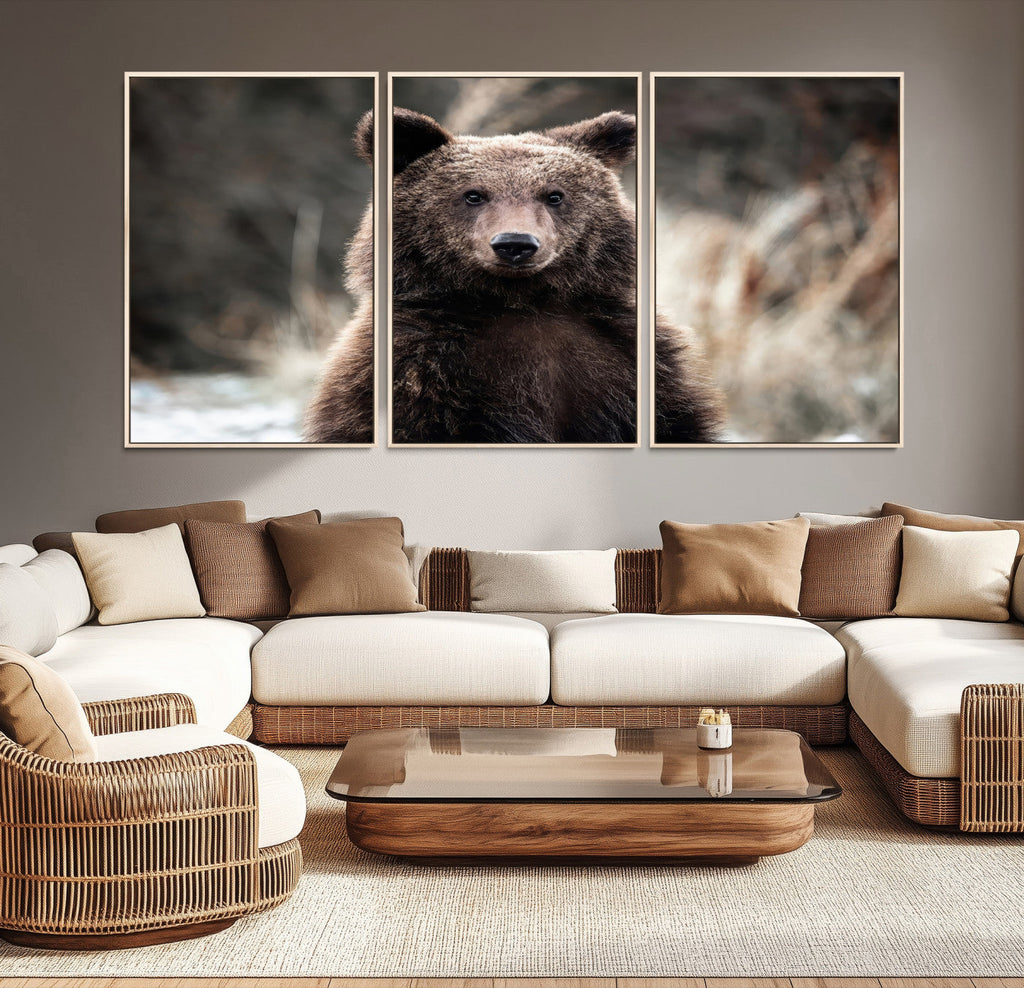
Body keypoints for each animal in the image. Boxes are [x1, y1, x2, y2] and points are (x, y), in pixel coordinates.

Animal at [305, 107, 721, 444]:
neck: (520, 302)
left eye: (554, 195)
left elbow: (675, 422)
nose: (515, 243)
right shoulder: (418, 370)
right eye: (473, 194)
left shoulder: (627, 359)